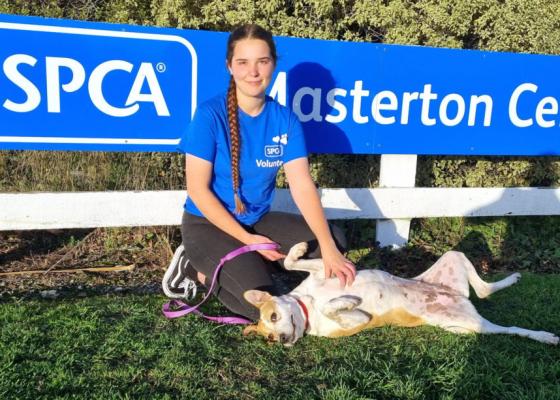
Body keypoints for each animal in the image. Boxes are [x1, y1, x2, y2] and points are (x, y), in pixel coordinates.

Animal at [243, 242, 559, 346]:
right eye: (268, 338)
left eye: (273, 316)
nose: (283, 340)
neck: (306, 306)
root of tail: (456, 297)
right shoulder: (358, 320)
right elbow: (332, 307)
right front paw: (344, 301)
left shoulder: (325, 268)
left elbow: (290, 263)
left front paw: (297, 249)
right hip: (467, 325)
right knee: (506, 324)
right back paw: (545, 336)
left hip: (453, 257)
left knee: (483, 289)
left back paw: (512, 279)